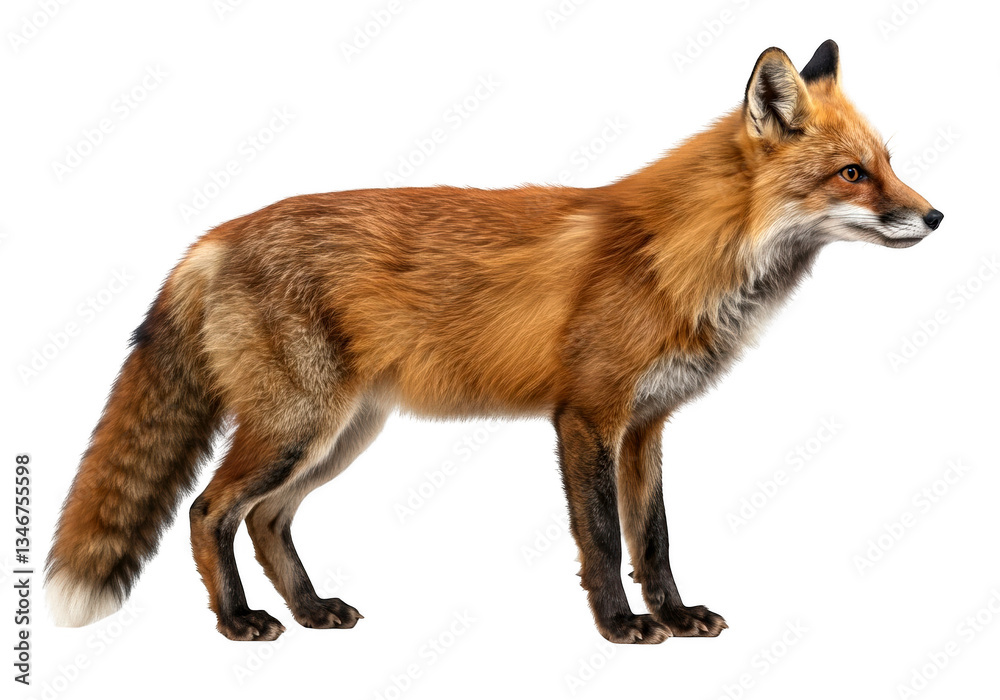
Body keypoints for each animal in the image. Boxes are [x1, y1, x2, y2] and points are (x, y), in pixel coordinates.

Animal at [47, 40, 943, 643]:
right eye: (854, 175)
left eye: (889, 163)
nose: (936, 216)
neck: (684, 254)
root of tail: (215, 236)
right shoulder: (586, 416)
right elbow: (602, 539)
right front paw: (621, 628)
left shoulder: (647, 425)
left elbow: (653, 539)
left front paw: (678, 614)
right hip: (296, 429)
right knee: (209, 512)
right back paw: (239, 621)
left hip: (341, 436)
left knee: (266, 522)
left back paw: (309, 609)